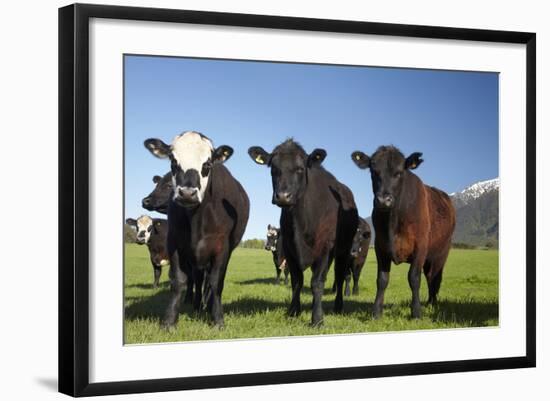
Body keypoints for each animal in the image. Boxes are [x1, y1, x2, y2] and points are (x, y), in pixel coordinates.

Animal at [146, 131, 251, 328]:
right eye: (173, 161)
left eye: (207, 164)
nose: (187, 193)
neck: (196, 221)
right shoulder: (175, 244)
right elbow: (179, 281)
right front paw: (169, 321)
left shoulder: (221, 247)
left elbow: (216, 283)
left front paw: (217, 319)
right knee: (199, 279)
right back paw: (197, 304)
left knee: (209, 281)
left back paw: (207, 306)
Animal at [249, 138, 360, 324]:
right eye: (273, 169)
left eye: (300, 169)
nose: (283, 196)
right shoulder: (290, 249)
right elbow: (297, 281)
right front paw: (293, 312)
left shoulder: (324, 248)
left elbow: (317, 282)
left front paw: (317, 319)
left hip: (343, 250)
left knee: (339, 276)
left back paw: (338, 306)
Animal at [354, 145, 458, 318]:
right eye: (374, 172)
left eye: (399, 172)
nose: (383, 200)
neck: (394, 220)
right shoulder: (380, 247)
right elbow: (382, 279)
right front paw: (376, 312)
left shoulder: (420, 247)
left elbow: (414, 278)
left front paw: (416, 312)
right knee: (430, 276)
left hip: (441, 253)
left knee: (434, 277)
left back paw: (432, 303)